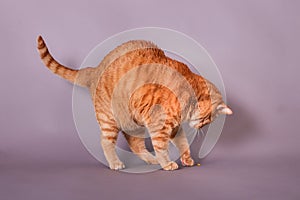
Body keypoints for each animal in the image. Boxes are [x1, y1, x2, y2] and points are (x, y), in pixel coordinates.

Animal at [37, 36, 232, 170]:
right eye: (207, 120)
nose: (201, 127)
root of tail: (94, 69)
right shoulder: (159, 126)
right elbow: (162, 147)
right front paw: (167, 163)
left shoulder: (174, 127)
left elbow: (183, 144)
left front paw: (186, 158)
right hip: (110, 120)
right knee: (105, 142)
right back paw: (116, 163)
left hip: (134, 123)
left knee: (135, 145)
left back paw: (152, 160)